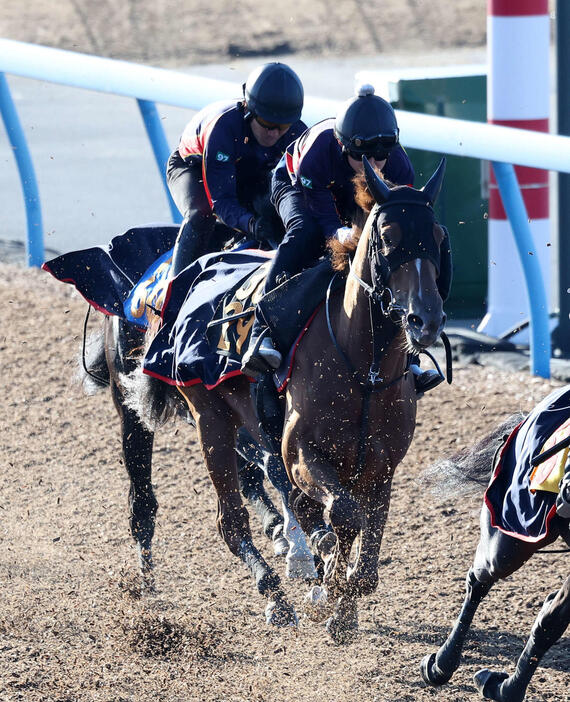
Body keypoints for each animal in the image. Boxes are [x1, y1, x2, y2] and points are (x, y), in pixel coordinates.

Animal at [134, 158, 448, 640]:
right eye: (388, 235)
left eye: (437, 236)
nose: (425, 320)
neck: (365, 370)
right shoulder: (301, 453)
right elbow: (344, 515)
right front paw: (330, 591)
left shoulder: (381, 466)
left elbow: (365, 553)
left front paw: (342, 604)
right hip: (210, 419)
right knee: (232, 522)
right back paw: (276, 597)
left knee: (294, 509)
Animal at [420, 394, 564, 700]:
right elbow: (550, 621)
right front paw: (506, 688)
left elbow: (553, 619)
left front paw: (507, 688)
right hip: (508, 542)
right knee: (478, 580)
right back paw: (440, 664)